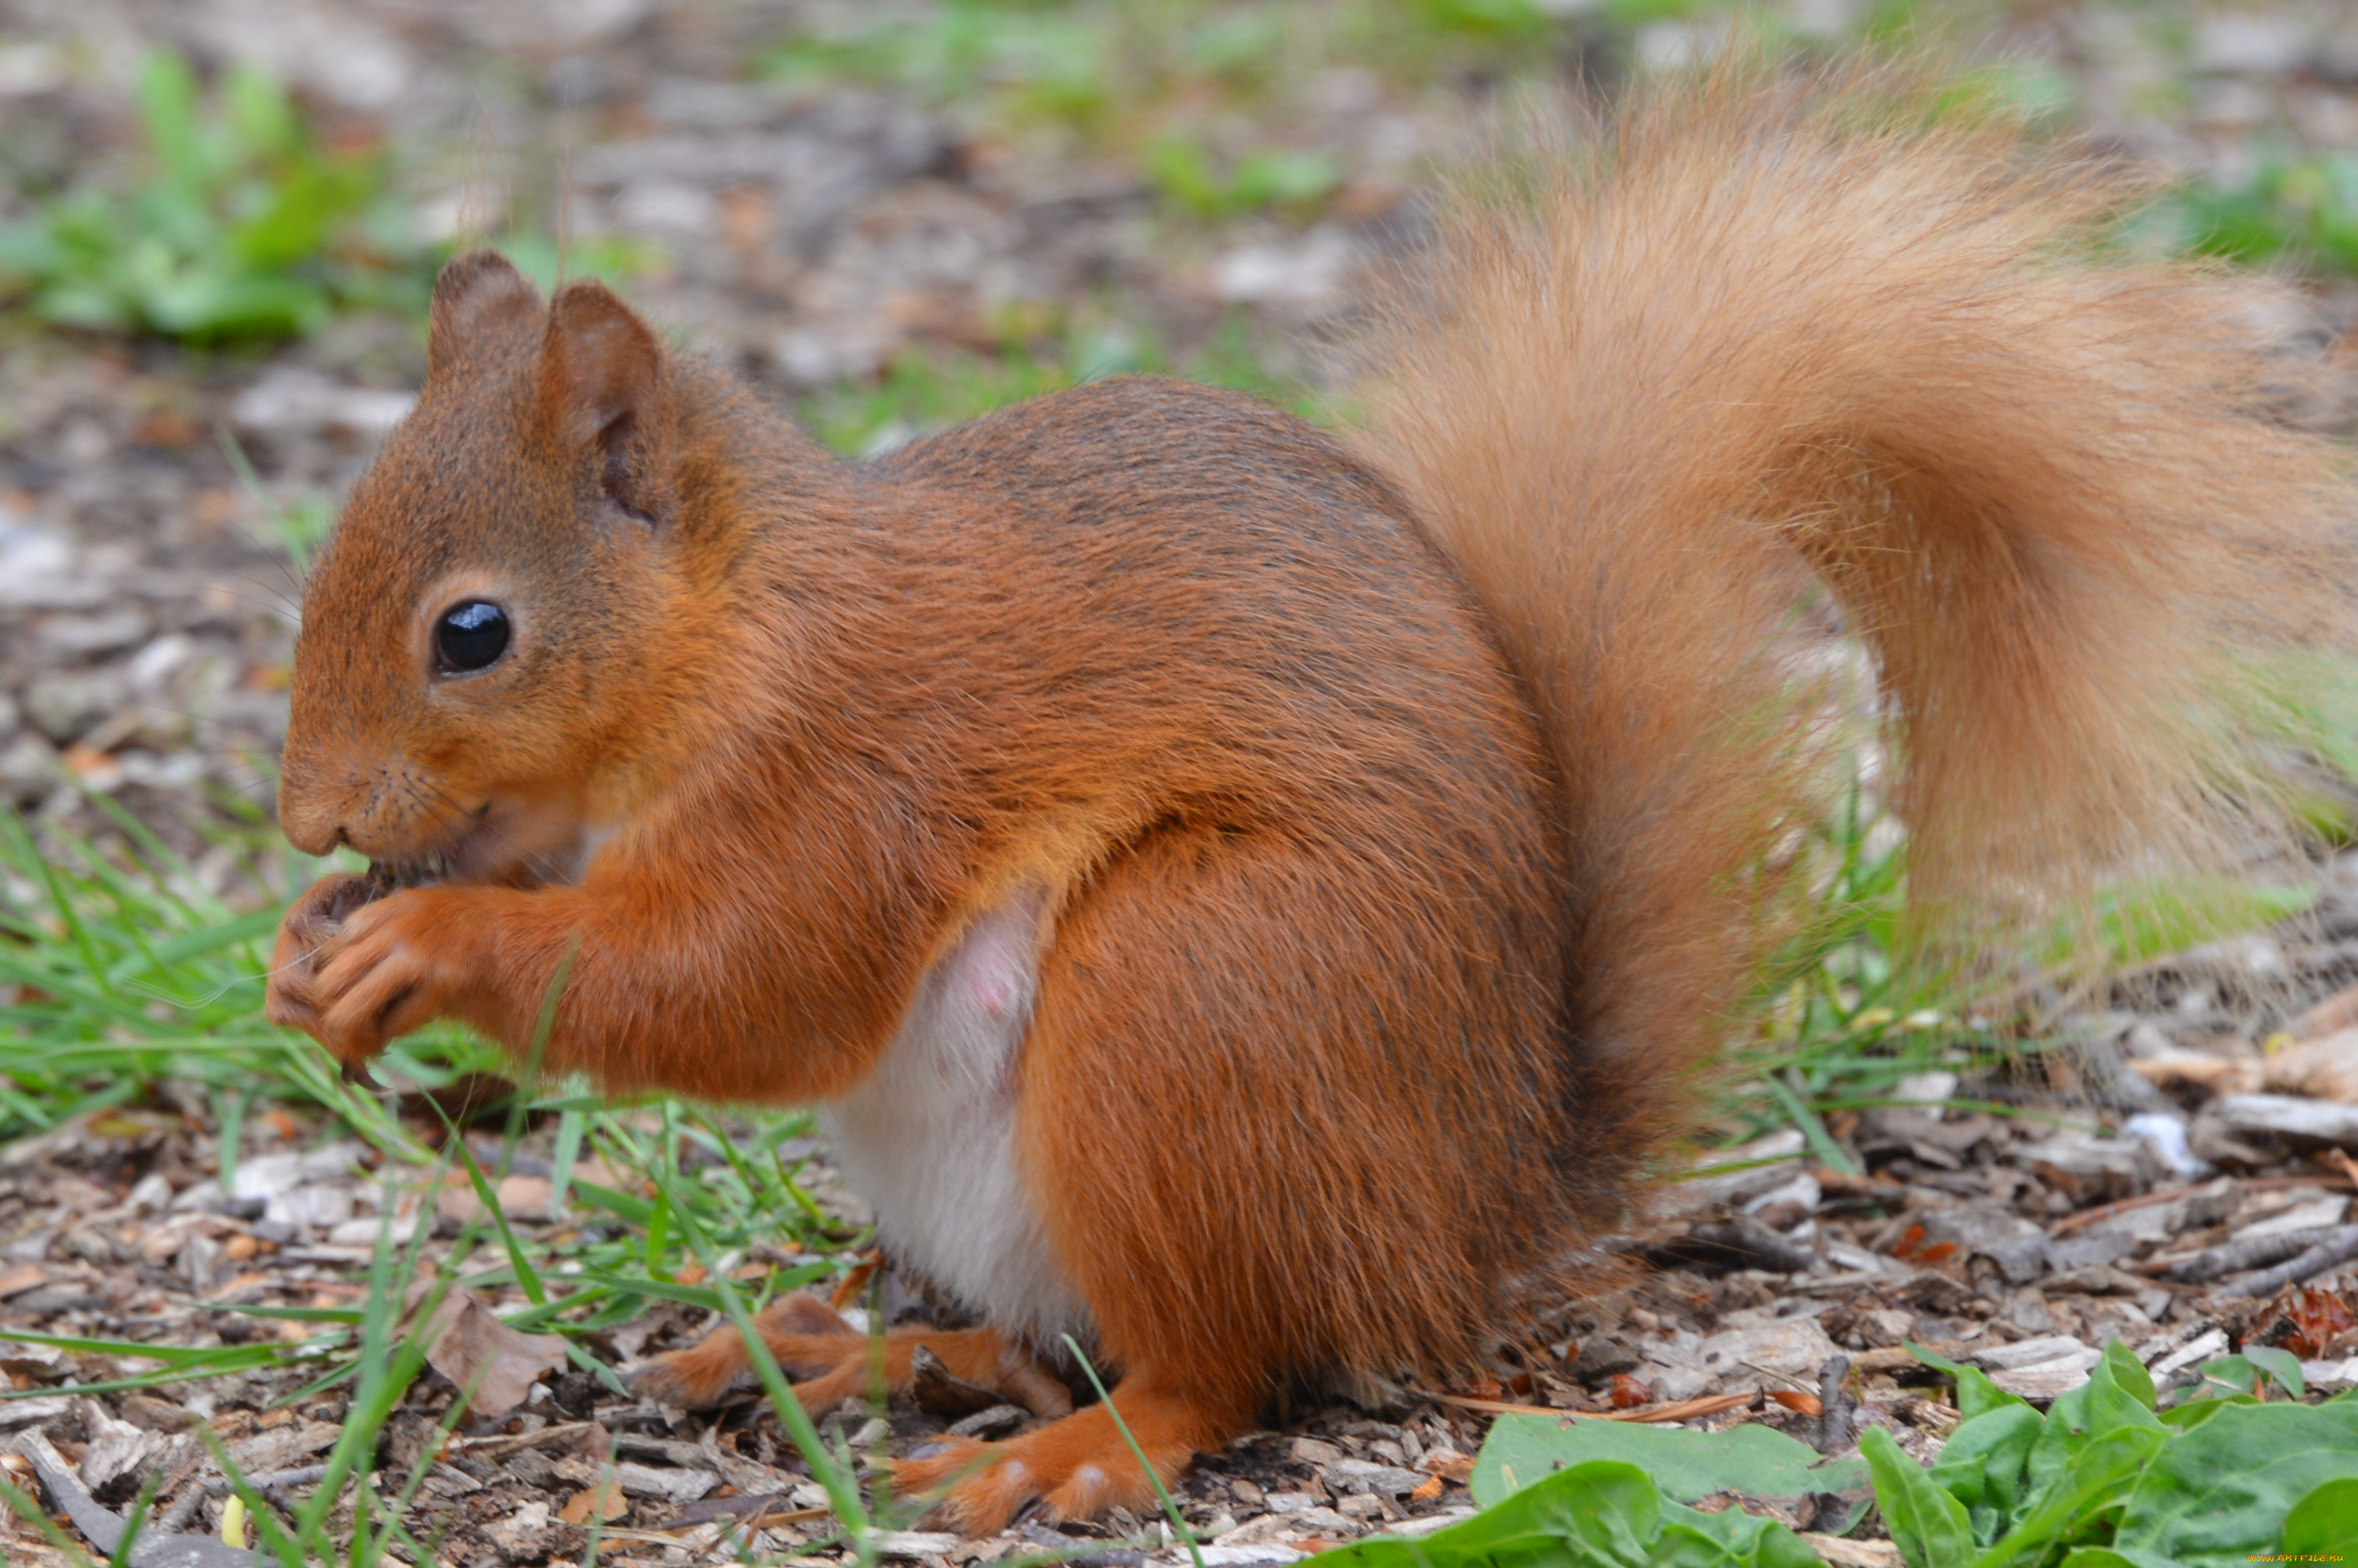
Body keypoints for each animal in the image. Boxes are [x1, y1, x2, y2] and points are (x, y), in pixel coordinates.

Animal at [262, 67, 2339, 1518]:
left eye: (471, 631)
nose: (306, 823)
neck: (738, 628)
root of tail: (1476, 1211)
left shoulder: (859, 764)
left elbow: (745, 984)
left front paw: (425, 942)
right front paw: (310, 952)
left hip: (1196, 997)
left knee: (1217, 1367)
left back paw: (1065, 1455)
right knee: (1046, 1336)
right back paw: (851, 1353)